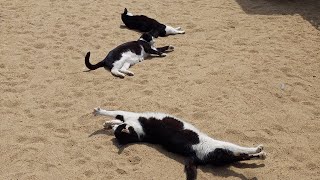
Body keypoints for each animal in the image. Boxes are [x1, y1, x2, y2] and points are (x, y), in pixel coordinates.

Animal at [92, 107, 264, 180]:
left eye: (117, 130)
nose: (113, 128)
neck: (140, 134)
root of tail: (195, 156)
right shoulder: (129, 116)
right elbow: (112, 112)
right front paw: (101, 115)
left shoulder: (129, 119)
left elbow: (115, 117)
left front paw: (107, 123)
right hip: (220, 146)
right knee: (241, 151)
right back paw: (259, 149)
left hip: (222, 155)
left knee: (241, 156)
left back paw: (261, 155)